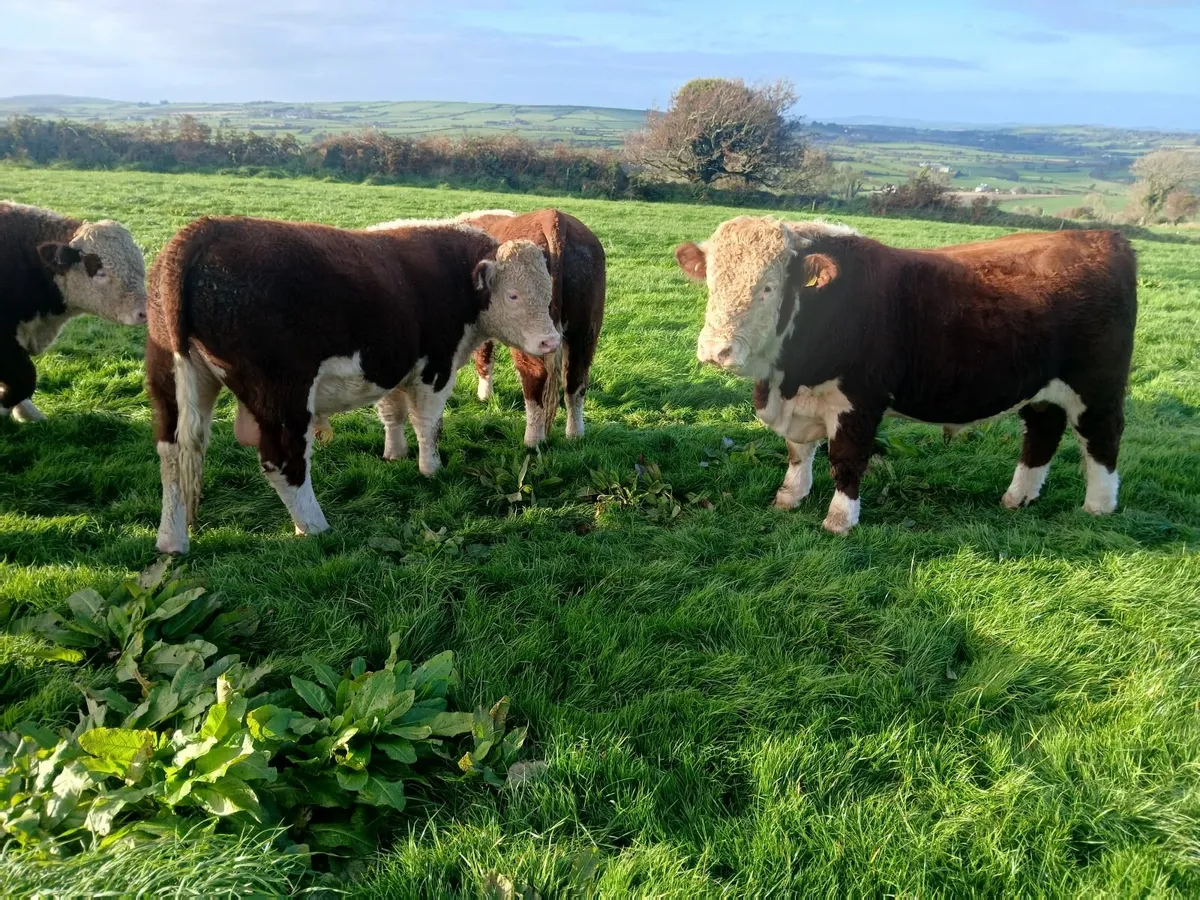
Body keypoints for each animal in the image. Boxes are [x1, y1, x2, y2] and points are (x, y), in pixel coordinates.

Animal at [147, 215, 558, 555]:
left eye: (549, 293)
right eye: (513, 295)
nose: (550, 341)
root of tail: (203, 230)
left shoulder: (394, 366)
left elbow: (393, 412)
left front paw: (395, 454)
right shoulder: (436, 367)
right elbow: (428, 423)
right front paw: (431, 468)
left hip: (173, 383)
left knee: (172, 456)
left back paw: (171, 541)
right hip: (283, 394)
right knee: (283, 459)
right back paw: (314, 526)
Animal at [676, 217, 1137, 534]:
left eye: (768, 288)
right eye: (711, 282)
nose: (715, 351)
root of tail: (1101, 236)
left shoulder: (860, 402)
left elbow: (846, 459)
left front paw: (839, 520)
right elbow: (797, 451)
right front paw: (789, 497)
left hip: (1097, 387)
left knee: (1102, 438)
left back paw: (1098, 507)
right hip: (1043, 389)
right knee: (1042, 432)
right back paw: (1017, 497)